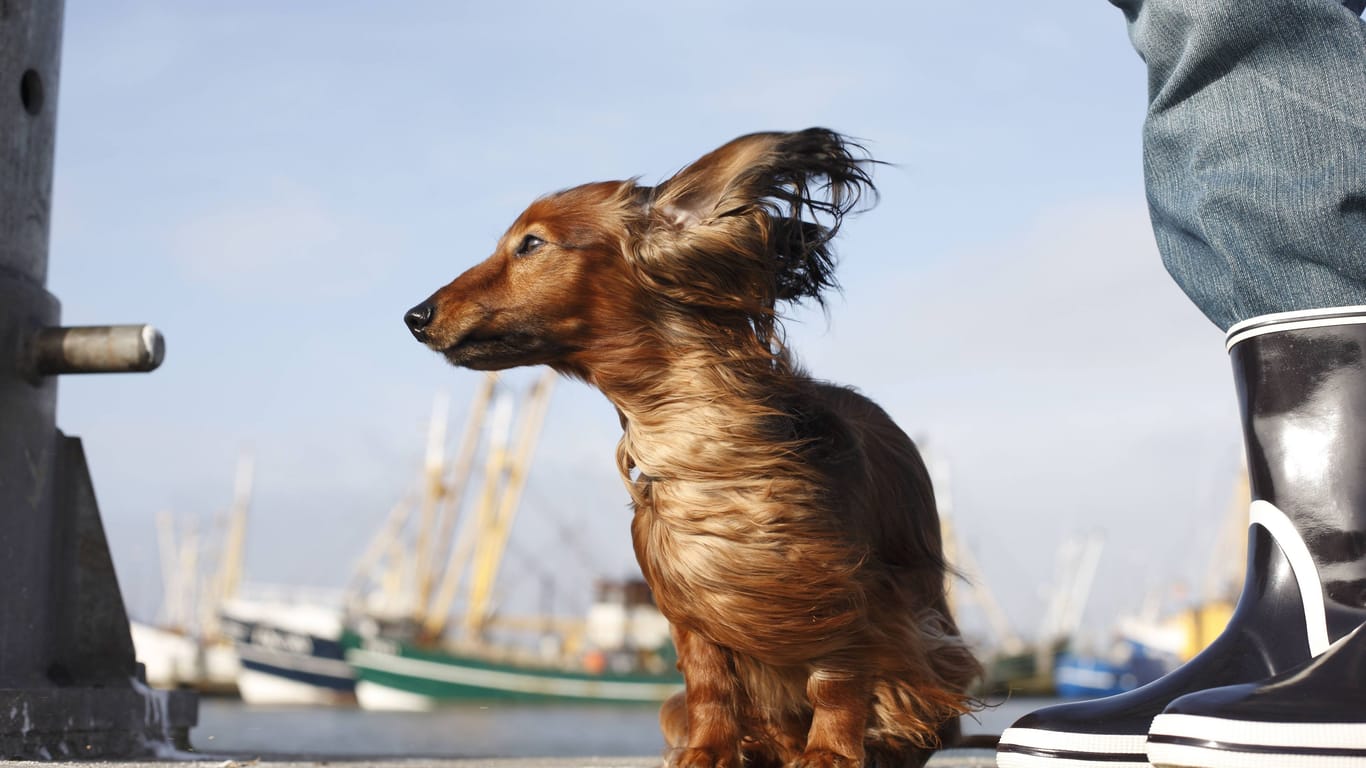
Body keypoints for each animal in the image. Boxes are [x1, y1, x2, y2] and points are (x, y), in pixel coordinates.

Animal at [404, 128, 983, 759]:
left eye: (531, 244)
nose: (415, 316)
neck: (688, 426)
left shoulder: (841, 590)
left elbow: (838, 676)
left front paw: (829, 752)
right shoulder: (688, 600)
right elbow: (709, 684)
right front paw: (707, 750)